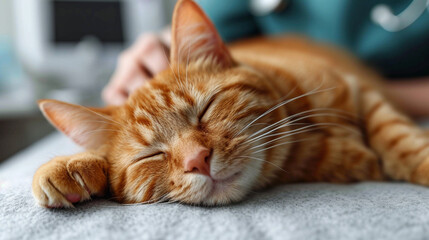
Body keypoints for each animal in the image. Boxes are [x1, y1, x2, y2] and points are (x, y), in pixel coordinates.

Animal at [34, 0, 429, 207]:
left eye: (205, 110)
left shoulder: (362, 91)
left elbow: (400, 139)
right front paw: (72, 166)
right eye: (151, 156)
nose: (197, 160)